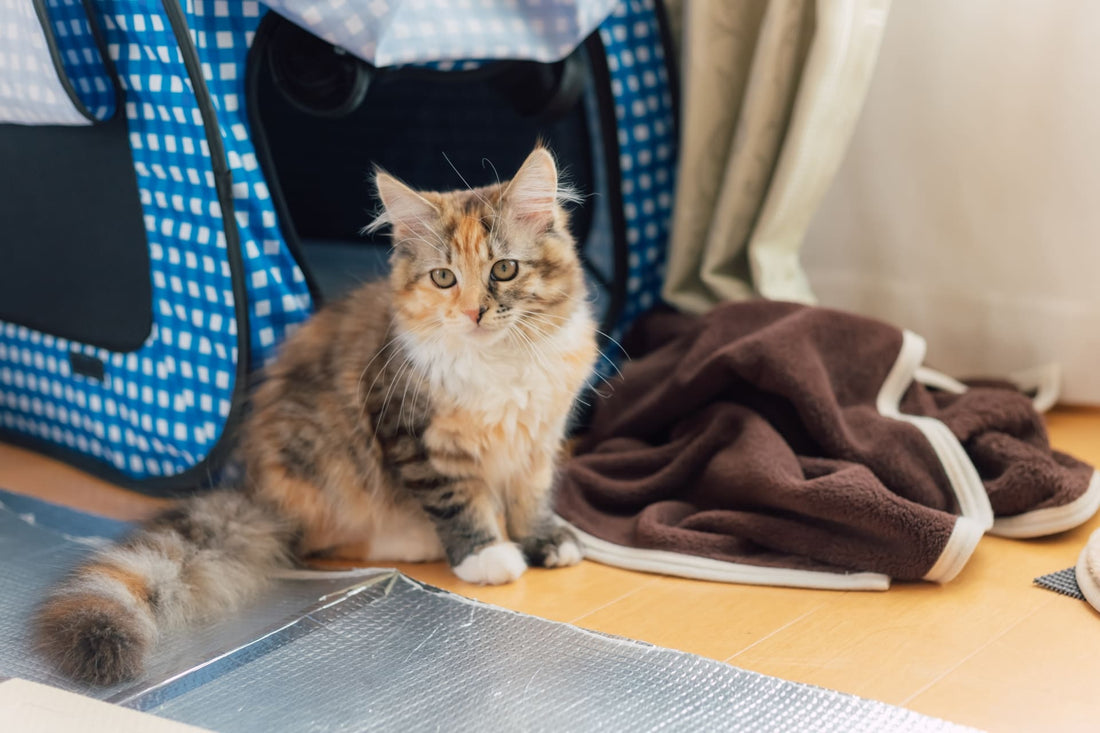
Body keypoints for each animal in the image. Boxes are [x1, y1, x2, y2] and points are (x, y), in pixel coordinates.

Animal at [34, 147, 598, 686]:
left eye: (504, 269)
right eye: (444, 278)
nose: (472, 313)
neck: (501, 361)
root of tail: (255, 491)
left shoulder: (539, 439)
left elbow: (531, 497)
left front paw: (543, 540)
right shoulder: (413, 435)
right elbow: (459, 501)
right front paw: (489, 555)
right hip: (327, 468)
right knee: (317, 540)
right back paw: (415, 541)